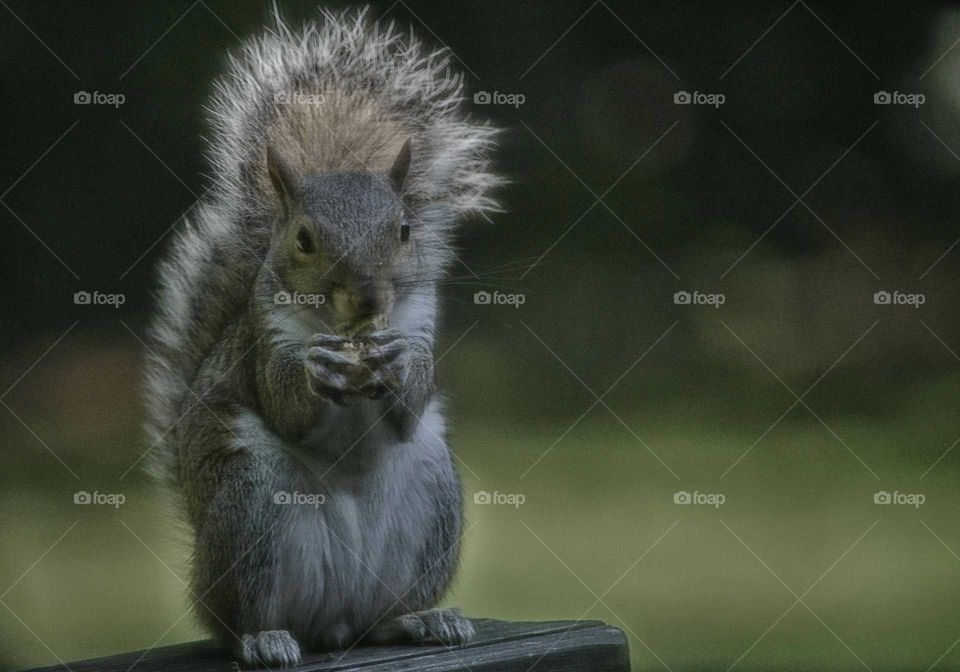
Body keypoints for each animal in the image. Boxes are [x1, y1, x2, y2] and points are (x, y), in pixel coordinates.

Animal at [142, 8, 500, 668]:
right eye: (304, 239)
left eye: (405, 230)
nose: (370, 299)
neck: (342, 328)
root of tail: (335, 623)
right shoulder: (264, 342)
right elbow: (285, 404)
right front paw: (316, 369)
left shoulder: (421, 322)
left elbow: (411, 402)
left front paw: (398, 365)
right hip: (252, 506)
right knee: (242, 618)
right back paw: (264, 638)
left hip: (431, 496)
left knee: (382, 619)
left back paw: (421, 621)